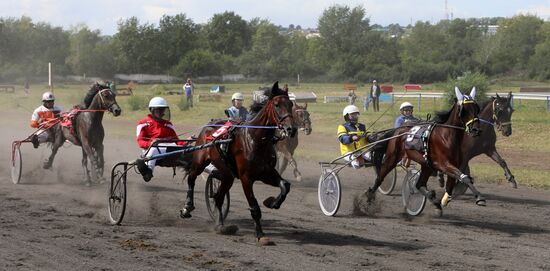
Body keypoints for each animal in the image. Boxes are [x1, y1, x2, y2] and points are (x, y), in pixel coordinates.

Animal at [181, 81, 296, 246]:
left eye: (291, 104)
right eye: (277, 104)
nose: (291, 129)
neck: (255, 139)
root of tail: (209, 124)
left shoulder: (266, 172)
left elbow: (285, 185)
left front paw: (272, 202)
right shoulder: (246, 178)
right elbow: (254, 207)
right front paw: (261, 235)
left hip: (227, 175)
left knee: (218, 197)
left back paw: (221, 226)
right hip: (199, 161)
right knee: (191, 178)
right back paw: (187, 207)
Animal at [370, 87, 484, 215]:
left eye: (477, 108)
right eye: (464, 110)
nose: (476, 130)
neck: (446, 136)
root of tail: (398, 130)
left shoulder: (452, 164)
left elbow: (452, 185)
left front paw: (442, 201)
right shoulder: (443, 164)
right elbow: (464, 178)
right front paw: (479, 198)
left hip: (426, 164)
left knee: (419, 184)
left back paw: (433, 199)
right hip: (392, 157)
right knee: (380, 177)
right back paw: (368, 198)